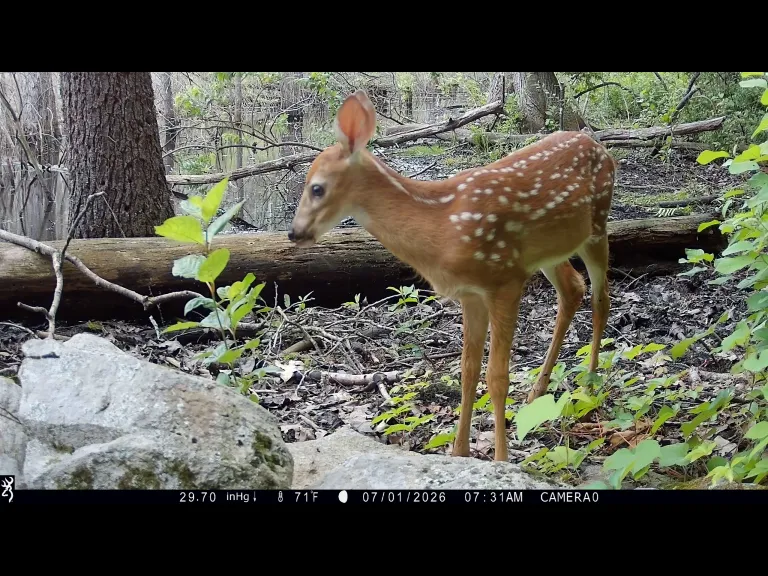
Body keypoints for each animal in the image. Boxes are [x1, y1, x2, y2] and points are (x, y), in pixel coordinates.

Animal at [288, 89, 615, 462]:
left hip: (598, 224)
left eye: (316, 188)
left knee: (601, 297)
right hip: (549, 251)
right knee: (573, 288)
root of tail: (598, 145)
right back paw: (537, 390)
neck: (444, 226)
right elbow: (468, 371)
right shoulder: (471, 293)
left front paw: (501, 460)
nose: (294, 233)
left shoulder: (504, 279)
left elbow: (497, 375)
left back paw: (590, 382)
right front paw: (459, 452)